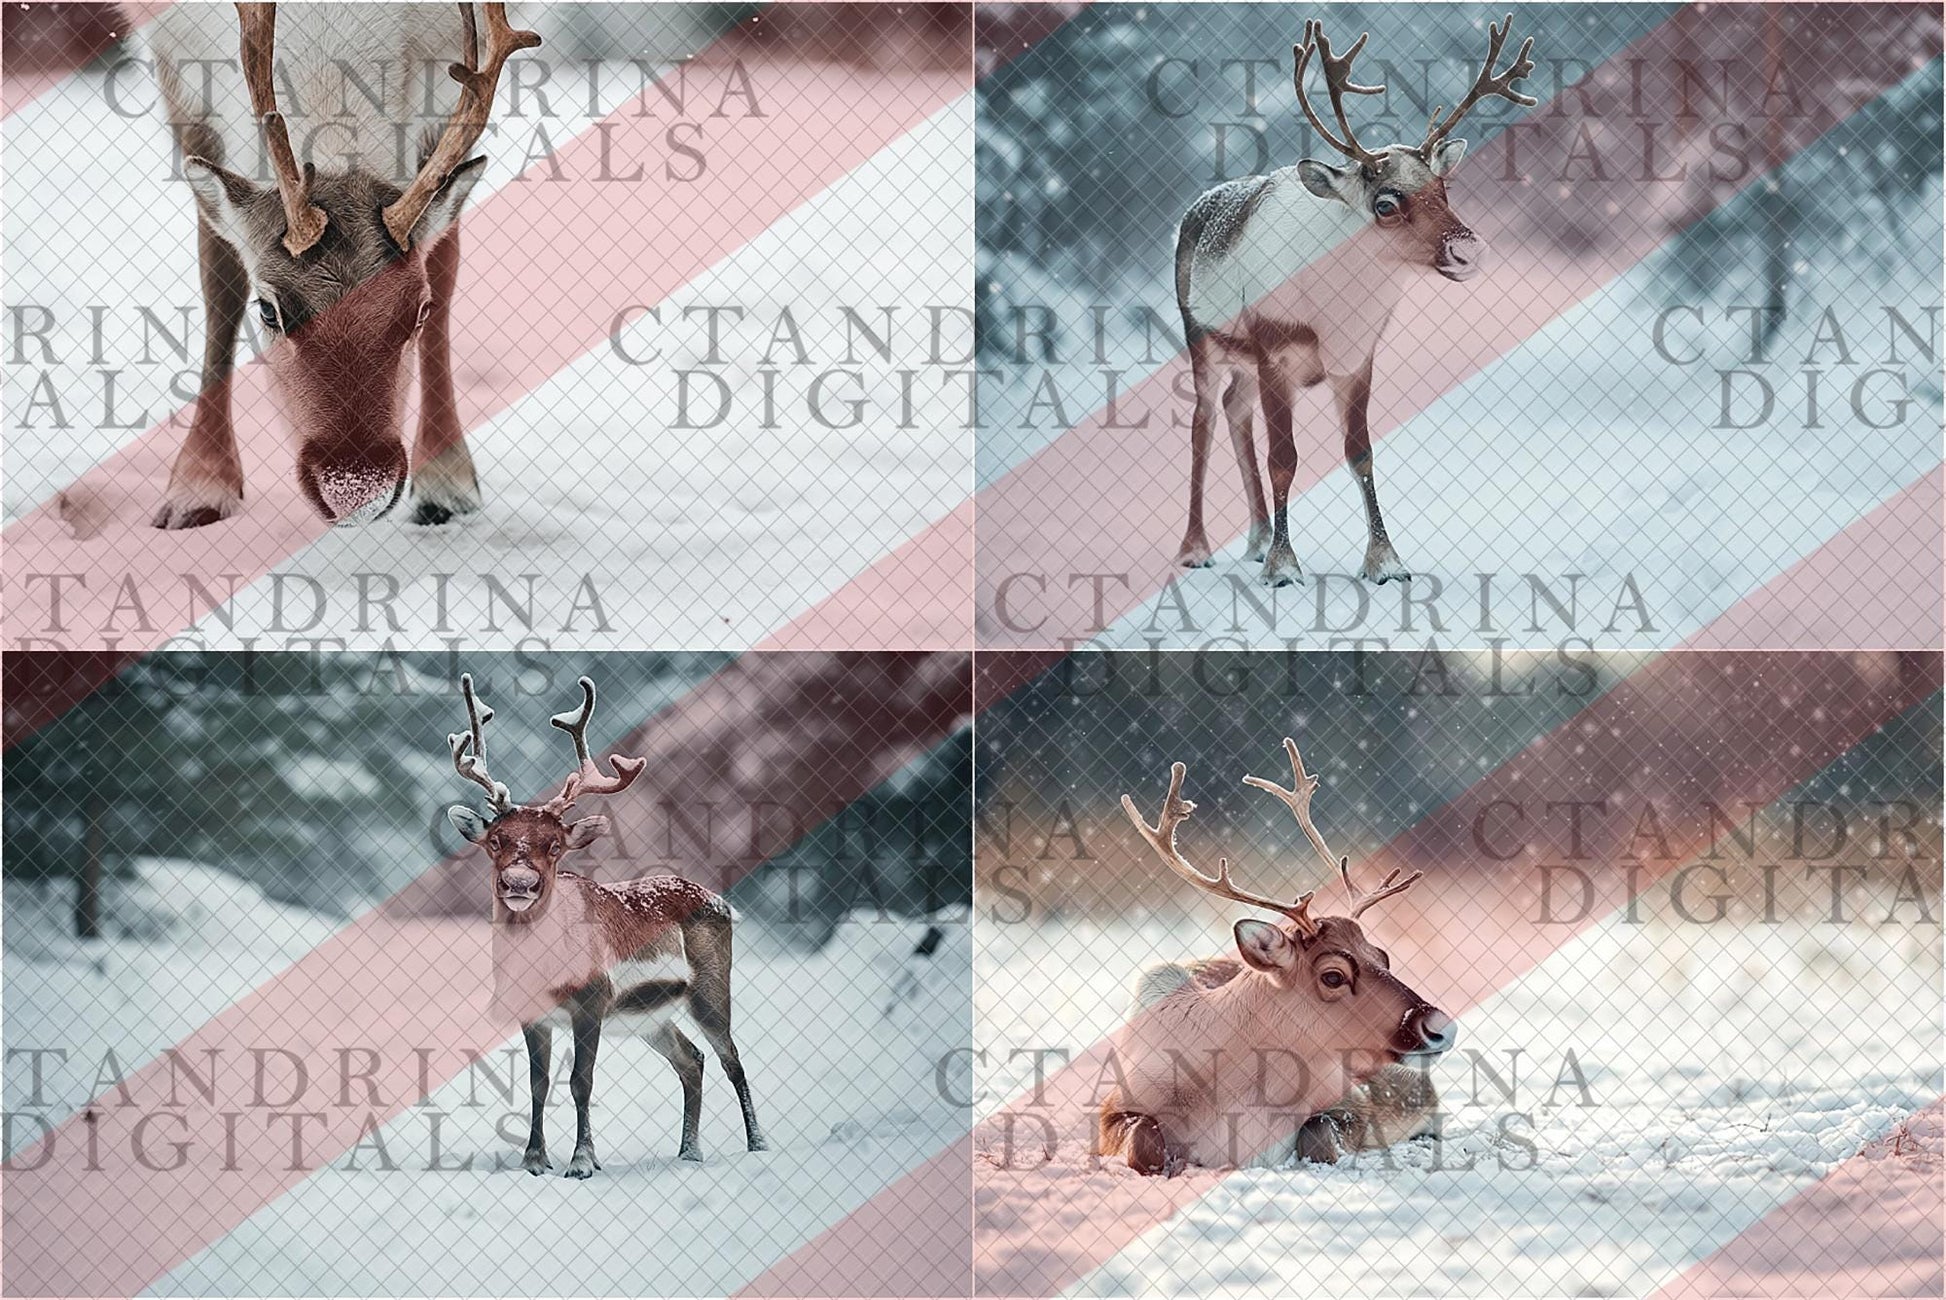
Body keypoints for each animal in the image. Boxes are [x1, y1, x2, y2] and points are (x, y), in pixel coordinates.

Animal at [142, 3, 540, 529]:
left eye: (420, 310)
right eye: (267, 310)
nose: (356, 488)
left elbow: (444, 258)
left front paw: (447, 482)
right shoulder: (172, 56)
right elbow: (220, 283)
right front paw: (198, 486)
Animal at [444, 673, 768, 1178]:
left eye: (555, 845)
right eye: (496, 840)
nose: (520, 882)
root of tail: (722, 902)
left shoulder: (593, 999)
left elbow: (581, 1080)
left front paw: (582, 1161)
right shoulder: (529, 1012)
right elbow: (538, 1083)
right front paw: (534, 1159)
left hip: (711, 986)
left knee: (731, 1058)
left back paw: (757, 1145)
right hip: (650, 1015)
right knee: (691, 1059)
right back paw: (688, 1152)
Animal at [1103, 738, 1455, 1174]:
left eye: (1382, 956)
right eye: (1333, 975)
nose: (1439, 1025)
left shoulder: (1348, 1102)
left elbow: (1317, 1136)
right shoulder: (1113, 1107)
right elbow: (1143, 1140)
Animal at [1173, 16, 1537, 587]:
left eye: (1444, 188)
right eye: (1385, 203)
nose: (1468, 249)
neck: (1336, 311)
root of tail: (1195, 208)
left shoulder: (1359, 357)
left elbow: (1360, 454)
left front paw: (1386, 562)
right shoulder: (1276, 351)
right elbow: (1285, 457)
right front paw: (1284, 568)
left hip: (1245, 362)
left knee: (1236, 410)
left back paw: (1255, 539)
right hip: (1202, 341)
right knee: (1202, 422)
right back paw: (1196, 548)